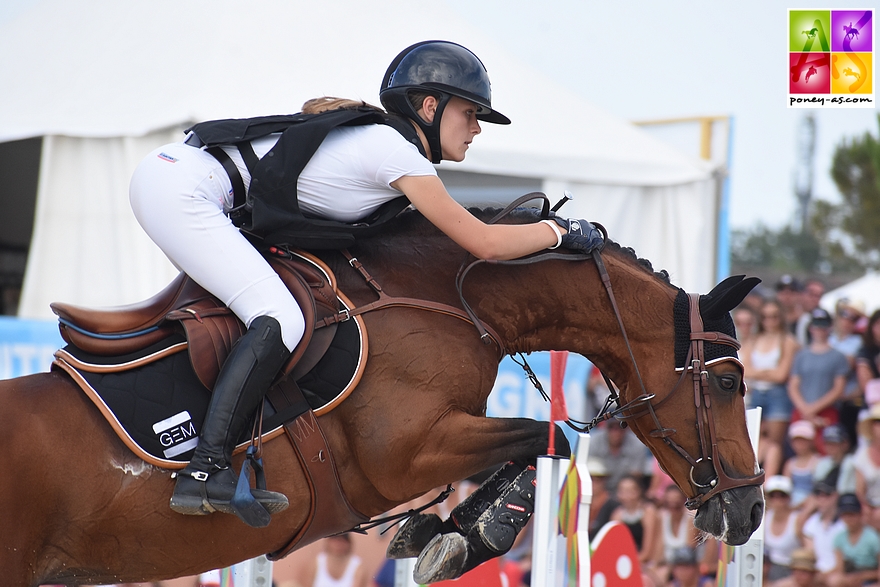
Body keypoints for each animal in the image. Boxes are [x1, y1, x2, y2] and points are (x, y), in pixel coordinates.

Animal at [0, 209, 760, 584]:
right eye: (728, 382)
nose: (751, 510)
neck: (450, 300)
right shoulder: (403, 454)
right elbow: (545, 437)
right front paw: (472, 534)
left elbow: (535, 443)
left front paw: (441, 532)